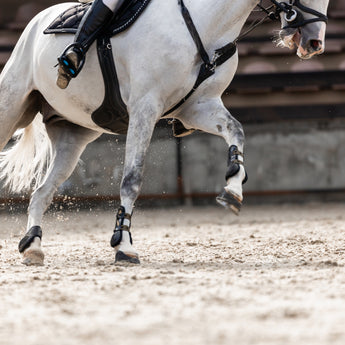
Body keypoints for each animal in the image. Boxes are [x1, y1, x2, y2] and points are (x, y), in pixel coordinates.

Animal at [0, 0, 328, 264]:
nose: (313, 42)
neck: (205, 25)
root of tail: (37, 21)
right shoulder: (145, 107)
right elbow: (131, 180)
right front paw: (124, 245)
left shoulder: (198, 107)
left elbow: (236, 132)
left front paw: (233, 191)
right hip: (11, 108)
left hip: (73, 136)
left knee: (42, 192)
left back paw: (33, 247)